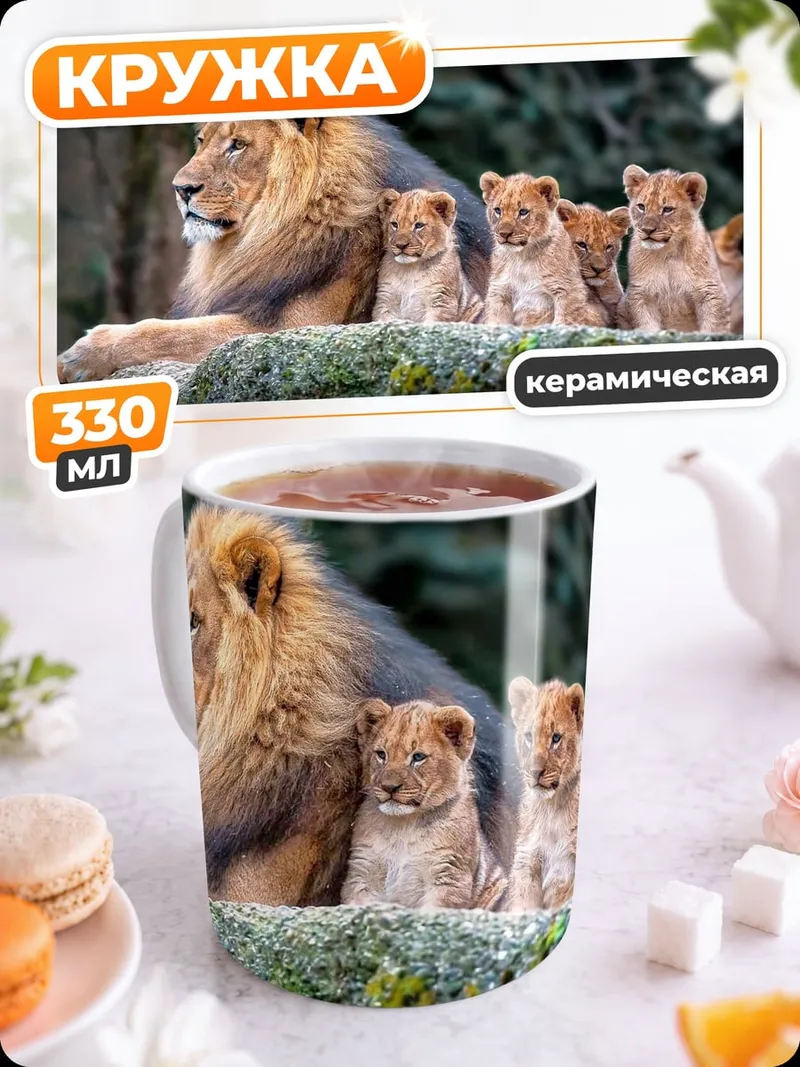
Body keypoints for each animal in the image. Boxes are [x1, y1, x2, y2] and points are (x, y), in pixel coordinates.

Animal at [341, 699, 507, 911]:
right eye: (381, 754)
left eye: (418, 757)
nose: (389, 787)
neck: (403, 826)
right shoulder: (362, 872)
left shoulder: (448, 876)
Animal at [372, 189, 484, 324]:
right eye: (394, 224)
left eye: (418, 225)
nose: (400, 245)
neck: (410, 269)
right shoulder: (386, 301)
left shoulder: (441, 301)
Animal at [479, 172, 607, 328]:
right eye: (498, 210)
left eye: (523, 212)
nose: (504, 234)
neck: (521, 258)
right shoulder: (499, 291)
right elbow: (496, 321)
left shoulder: (569, 290)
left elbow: (564, 320)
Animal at [507, 677, 584, 912]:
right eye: (529, 737)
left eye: (556, 738)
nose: (535, 771)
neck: (551, 808)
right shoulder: (527, 863)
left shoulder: (567, 870)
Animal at [619, 165, 731, 334]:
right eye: (641, 207)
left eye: (667, 209)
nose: (647, 230)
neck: (667, 254)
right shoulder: (641, 293)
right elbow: (647, 325)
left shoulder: (710, 291)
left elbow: (713, 326)